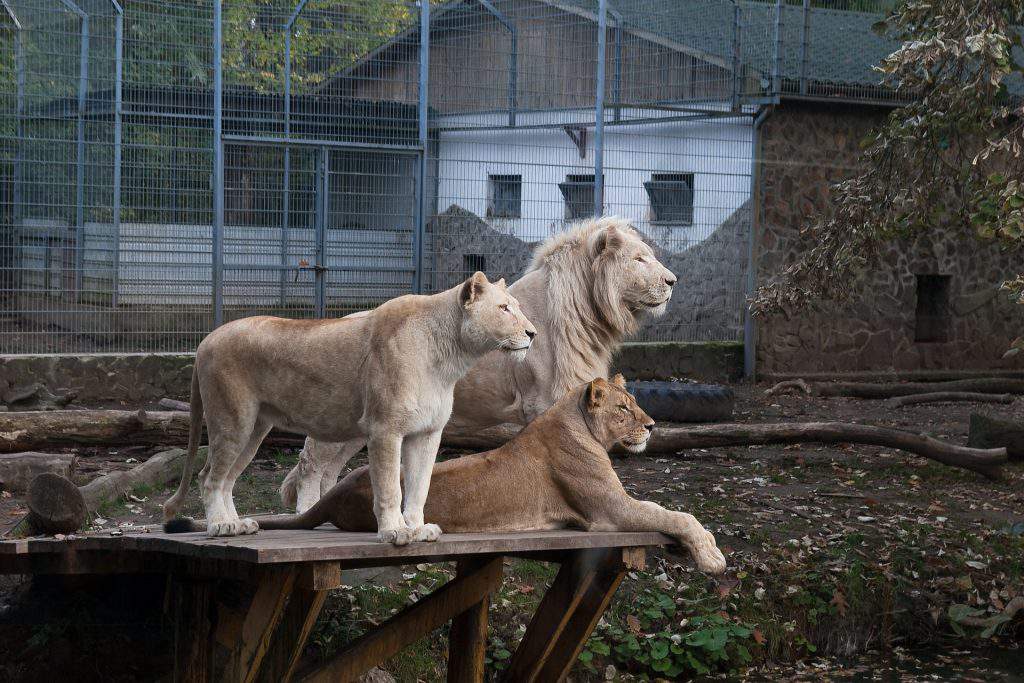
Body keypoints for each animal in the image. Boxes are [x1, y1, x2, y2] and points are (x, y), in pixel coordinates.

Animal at [163, 270, 536, 540]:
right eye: (504, 309)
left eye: (516, 306)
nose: (533, 333)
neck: (450, 357)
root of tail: (206, 340)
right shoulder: (385, 428)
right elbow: (390, 485)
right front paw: (394, 532)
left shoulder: (427, 433)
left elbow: (419, 486)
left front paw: (417, 528)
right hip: (232, 420)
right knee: (209, 476)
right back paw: (219, 527)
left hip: (255, 428)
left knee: (226, 478)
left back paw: (237, 525)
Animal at [284, 219, 675, 511]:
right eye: (640, 259)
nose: (673, 281)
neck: (586, 317)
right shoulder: (541, 403)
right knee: (310, 470)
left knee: (328, 472)